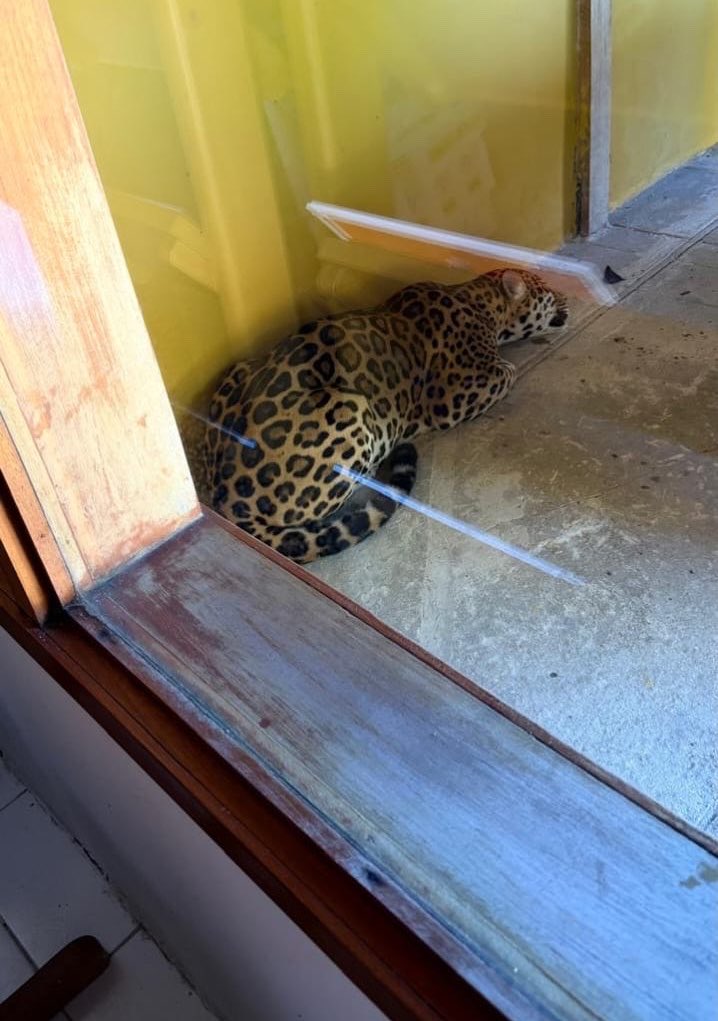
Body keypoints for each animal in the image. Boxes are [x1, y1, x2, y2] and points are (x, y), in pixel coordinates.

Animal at [203, 268, 568, 564]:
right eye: (547, 290)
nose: (566, 296)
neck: (480, 301)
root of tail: (225, 499)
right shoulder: (453, 396)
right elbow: (508, 371)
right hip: (351, 408)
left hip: (236, 369)